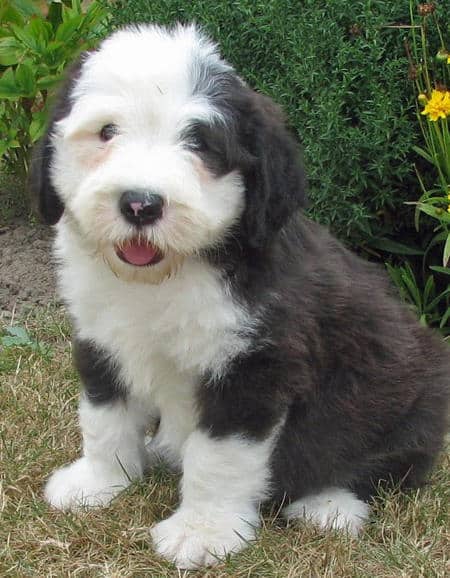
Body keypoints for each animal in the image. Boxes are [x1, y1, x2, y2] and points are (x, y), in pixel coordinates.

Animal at [29, 23, 448, 568]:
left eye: (200, 144)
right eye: (106, 132)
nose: (140, 204)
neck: (171, 276)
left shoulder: (255, 365)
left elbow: (218, 457)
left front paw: (202, 532)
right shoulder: (101, 337)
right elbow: (104, 418)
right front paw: (99, 483)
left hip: (409, 398)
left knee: (383, 465)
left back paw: (328, 506)